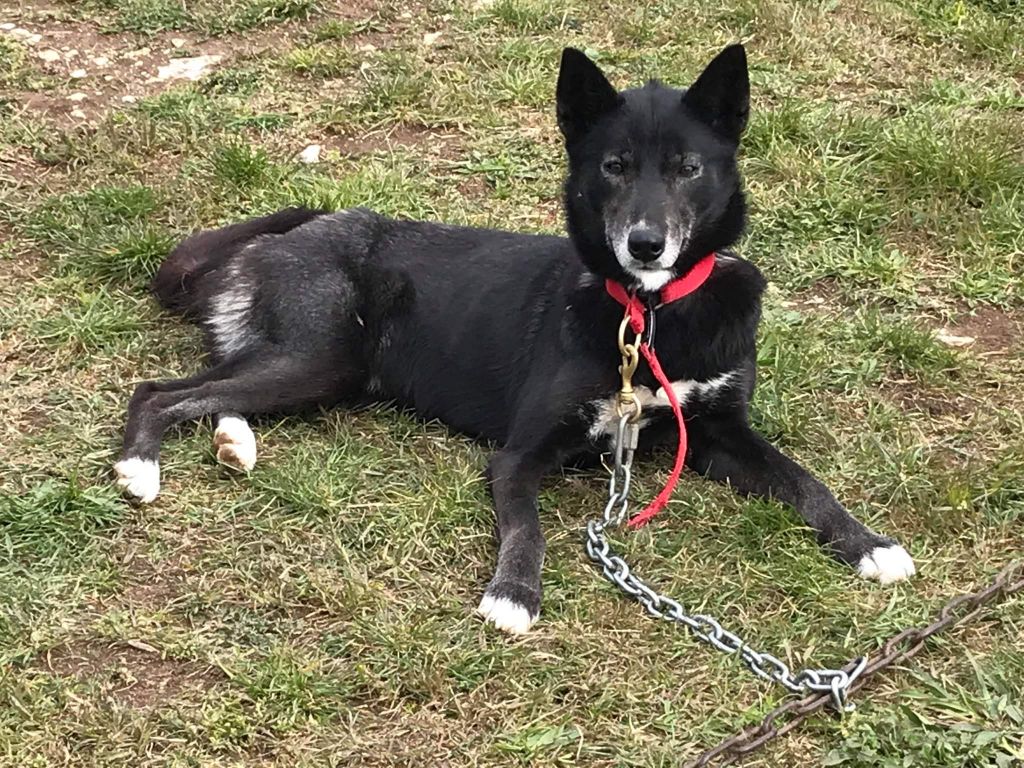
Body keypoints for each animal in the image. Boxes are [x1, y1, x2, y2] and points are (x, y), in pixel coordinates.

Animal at [115, 44, 915, 634]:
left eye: (688, 168)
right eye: (613, 166)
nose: (646, 245)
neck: (648, 316)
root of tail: (285, 235)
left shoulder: (717, 432)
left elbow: (805, 481)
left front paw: (870, 545)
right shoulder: (520, 454)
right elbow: (527, 525)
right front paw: (515, 595)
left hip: (314, 368)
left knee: (214, 391)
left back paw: (233, 442)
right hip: (321, 356)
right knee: (159, 391)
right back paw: (141, 468)